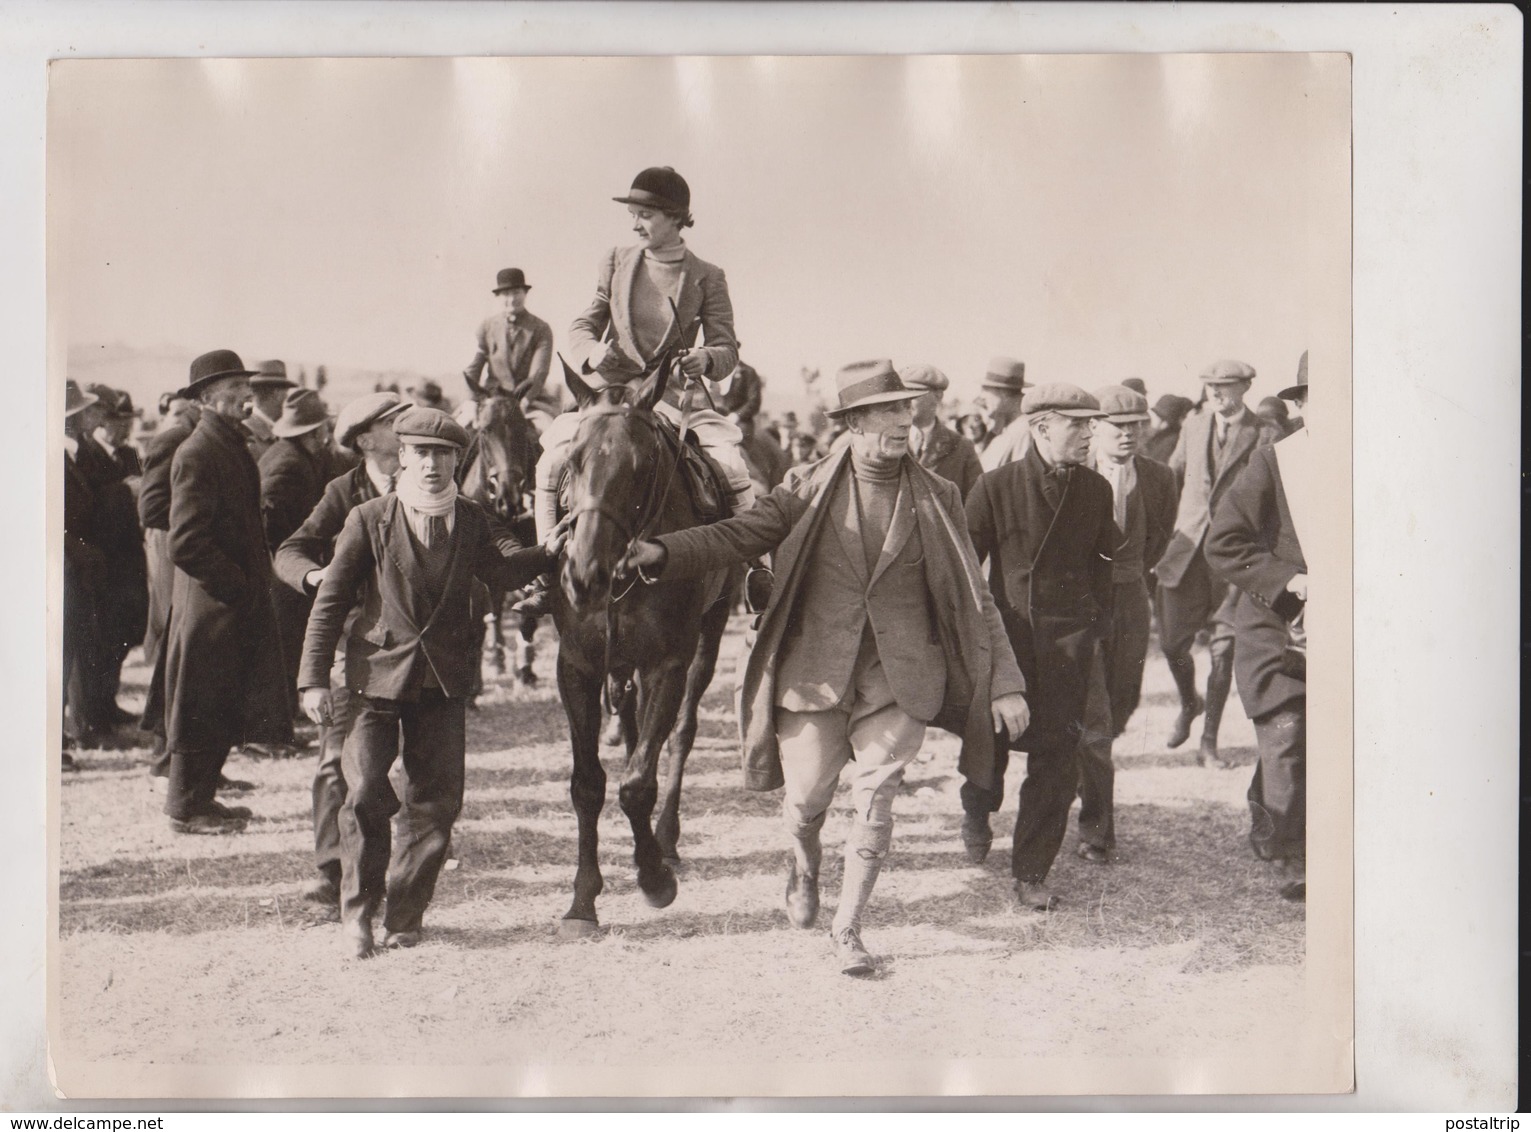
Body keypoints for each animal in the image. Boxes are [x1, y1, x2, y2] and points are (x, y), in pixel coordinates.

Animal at [453, 378, 545, 683]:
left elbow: (527, 615)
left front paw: (525, 668)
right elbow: (479, 615)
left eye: (522, 429)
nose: (510, 496)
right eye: (484, 430)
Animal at [554, 356, 737, 937]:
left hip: (711, 633)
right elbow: (588, 783)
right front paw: (583, 899)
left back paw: (666, 838)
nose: (582, 576)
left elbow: (637, 783)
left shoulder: (667, 665)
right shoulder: (577, 666)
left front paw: (655, 879)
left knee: (680, 735)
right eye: (573, 460)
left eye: (640, 465)